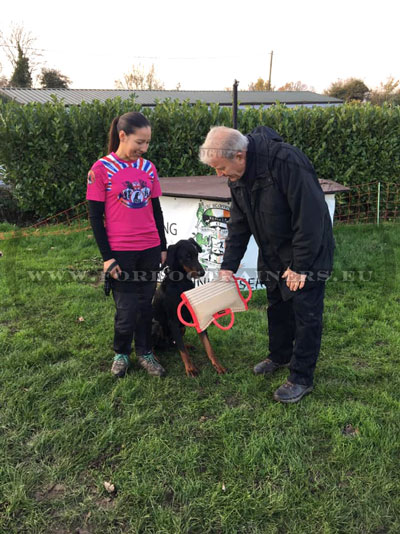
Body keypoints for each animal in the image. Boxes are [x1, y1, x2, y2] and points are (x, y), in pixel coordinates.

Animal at [153, 239, 227, 376]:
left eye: (196, 254)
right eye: (187, 256)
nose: (202, 273)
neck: (181, 283)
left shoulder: (196, 317)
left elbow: (208, 345)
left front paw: (218, 365)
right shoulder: (173, 322)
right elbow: (183, 352)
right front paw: (191, 369)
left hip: (182, 328)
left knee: (175, 343)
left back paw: (186, 345)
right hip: (157, 325)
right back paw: (154, 357)